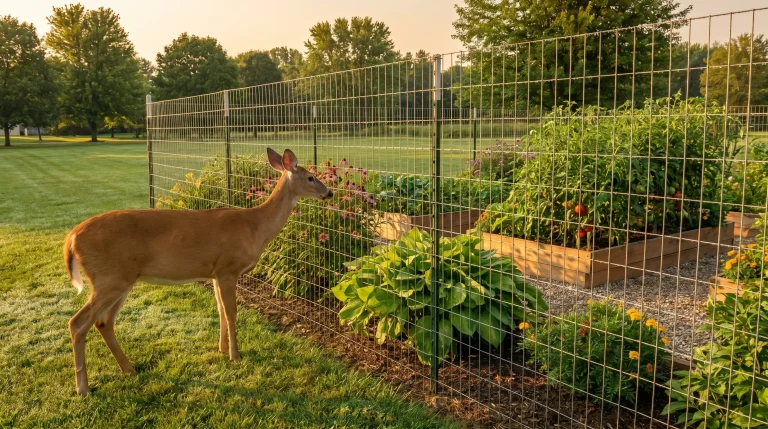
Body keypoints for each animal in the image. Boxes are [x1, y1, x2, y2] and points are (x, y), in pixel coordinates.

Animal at [63, 148, 332, 396]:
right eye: (310, 177)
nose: (330, 192)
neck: (255, 227)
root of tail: (72, 237)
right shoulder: (228, 269)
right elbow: (232, 313)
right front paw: (236, 355)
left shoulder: (214, 273)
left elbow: (220, 310)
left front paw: (222, 349)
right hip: (110, 278)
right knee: (78, 323)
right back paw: (83, 388)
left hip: (120, 280)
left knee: (103, 322)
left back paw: (128, 369)